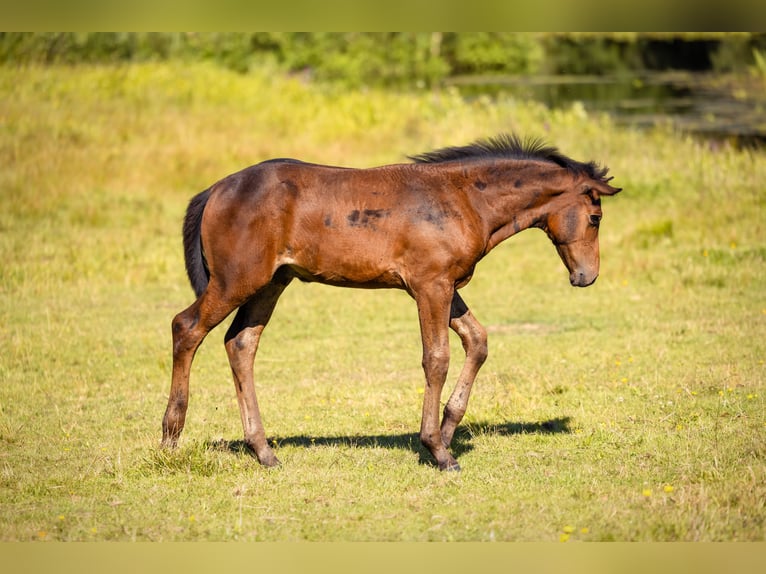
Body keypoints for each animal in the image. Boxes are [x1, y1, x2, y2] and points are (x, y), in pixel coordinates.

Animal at [162, 135, 624, 472]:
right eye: (596, 218)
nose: (586, 276)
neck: (464, 199)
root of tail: (217, 189)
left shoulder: (446, 285)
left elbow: (477, 341)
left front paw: (448, 429)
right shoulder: (429, 286)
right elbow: (436, 358)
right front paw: (437, 450)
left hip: (271, 284)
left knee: (240, 343)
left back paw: (263, 451)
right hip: (236, 281)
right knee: (187, 328)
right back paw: (171, 436)